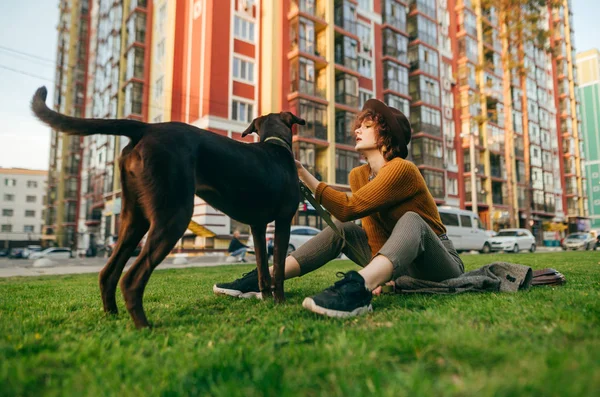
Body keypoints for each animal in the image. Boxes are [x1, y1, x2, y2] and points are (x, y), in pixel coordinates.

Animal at [31, 85, 304, 326]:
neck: (275, 144)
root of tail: (147, 128)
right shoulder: (283, 220)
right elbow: (278, 269)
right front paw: (280, 302)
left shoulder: (257, 227)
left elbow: (263, 269)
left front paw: (267, 301)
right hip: (174, 215)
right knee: (131, 280)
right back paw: (144, 326)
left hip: (135, 220)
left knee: (108, 274)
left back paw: (112, 317)